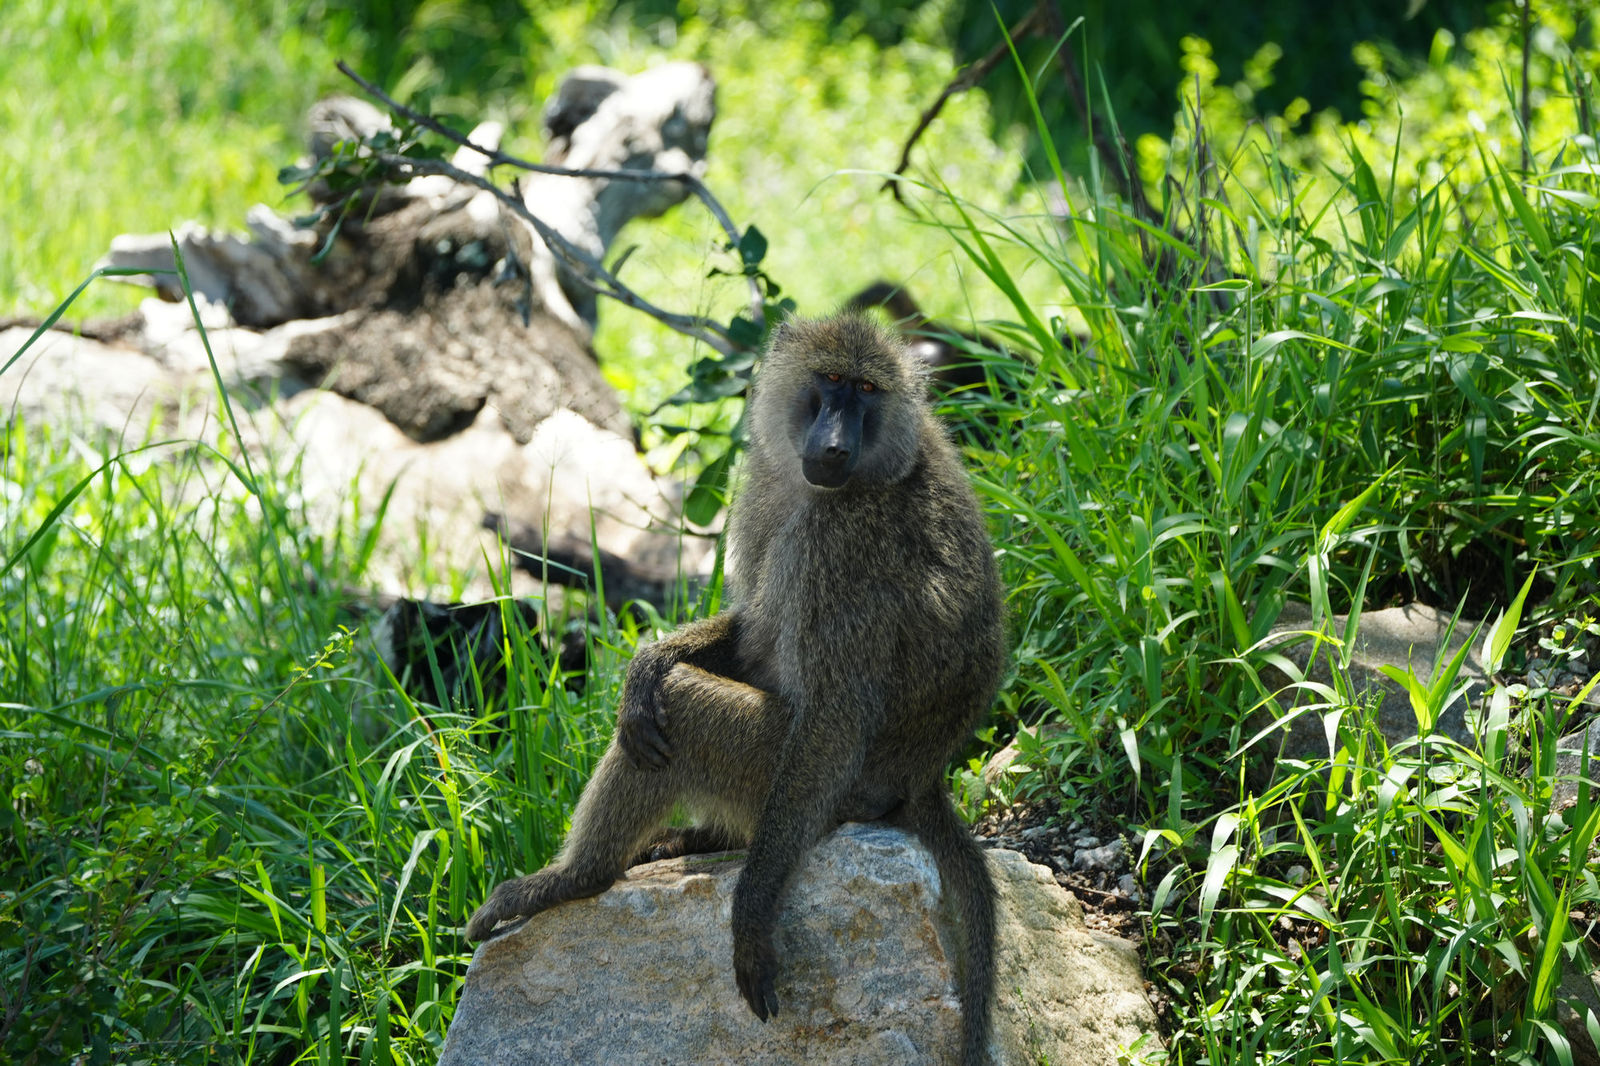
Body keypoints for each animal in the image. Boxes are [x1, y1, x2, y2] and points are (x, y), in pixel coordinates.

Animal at [466, 313, 1006, 1066]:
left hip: (801, 781)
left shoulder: (842, 547)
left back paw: (578, 879)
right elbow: (751, 633)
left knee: (689, 714)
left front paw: (750, 915)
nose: (833, 443)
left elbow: (830, 719)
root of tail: (920, 782)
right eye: (830, 382)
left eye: (867, 390)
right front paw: (649, 661)